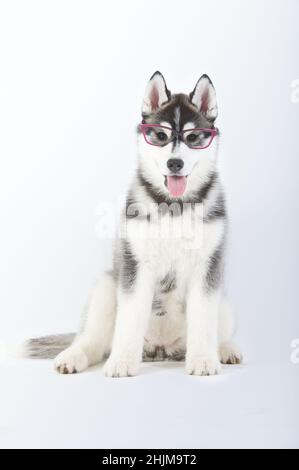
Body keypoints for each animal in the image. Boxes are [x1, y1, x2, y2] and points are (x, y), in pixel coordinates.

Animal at [25, 71, 244, 376]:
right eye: (161, 136)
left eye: (193, 138)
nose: (175, 163)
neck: (173, 208)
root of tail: (162, 349)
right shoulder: (136, 266)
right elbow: (129, 319)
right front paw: (122, 361)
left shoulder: (207, 268)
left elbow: (203, 321)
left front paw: (202, 359)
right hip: (106, 286)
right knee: (92, 340)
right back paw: (74, 355)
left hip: (223, 301)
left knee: (219, 330)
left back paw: (225, 350)